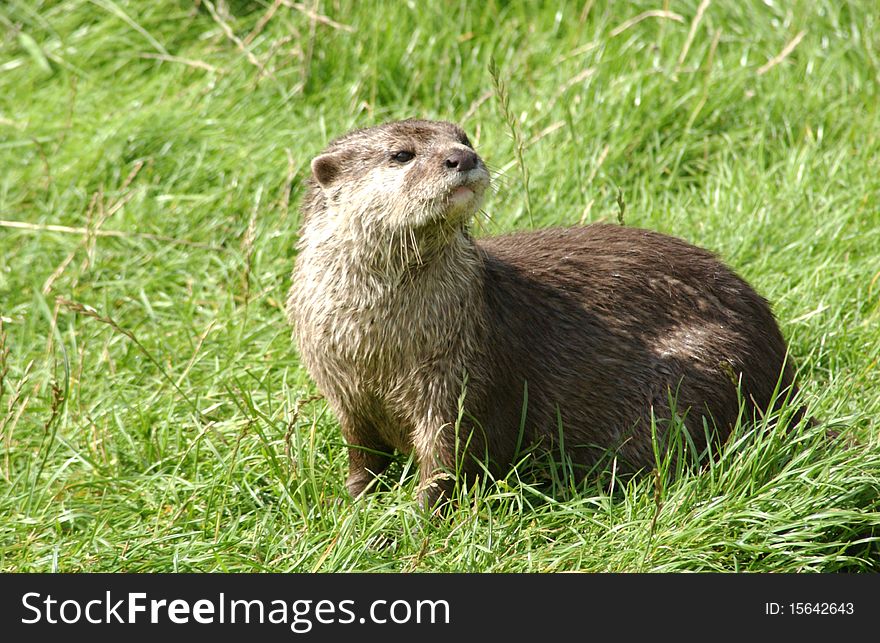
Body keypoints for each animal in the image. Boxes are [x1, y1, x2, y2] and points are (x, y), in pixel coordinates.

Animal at [288, 118, 804, 506]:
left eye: (464, 137)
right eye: (401, 154)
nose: (463, 158)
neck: (378, 347)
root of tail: (782, 372)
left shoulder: (463, 380)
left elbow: (448, 461)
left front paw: (416, 517)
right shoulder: (343, 392)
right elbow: (361, 454)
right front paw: (350, 501)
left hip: (704, 367)